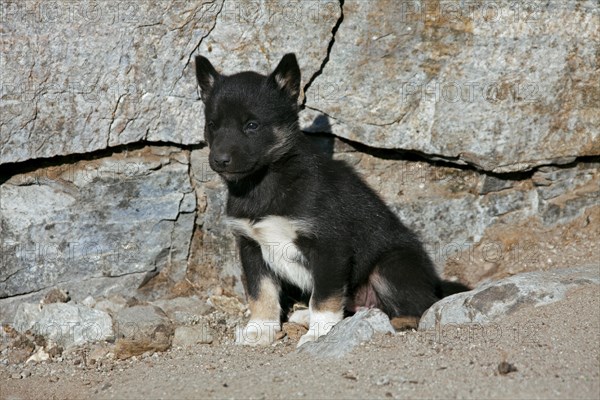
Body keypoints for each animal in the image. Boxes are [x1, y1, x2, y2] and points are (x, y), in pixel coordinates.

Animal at [195, 53, 466, 346]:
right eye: (212, 125)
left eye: (252, 126)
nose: (219, 160)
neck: (265, 182)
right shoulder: (251, 246)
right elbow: (261, 293)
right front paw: (260, 329)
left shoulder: (329, 247)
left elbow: (324, 298)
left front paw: (319, 333)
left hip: (390, 266)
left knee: (418, 308)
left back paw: (392, 322)